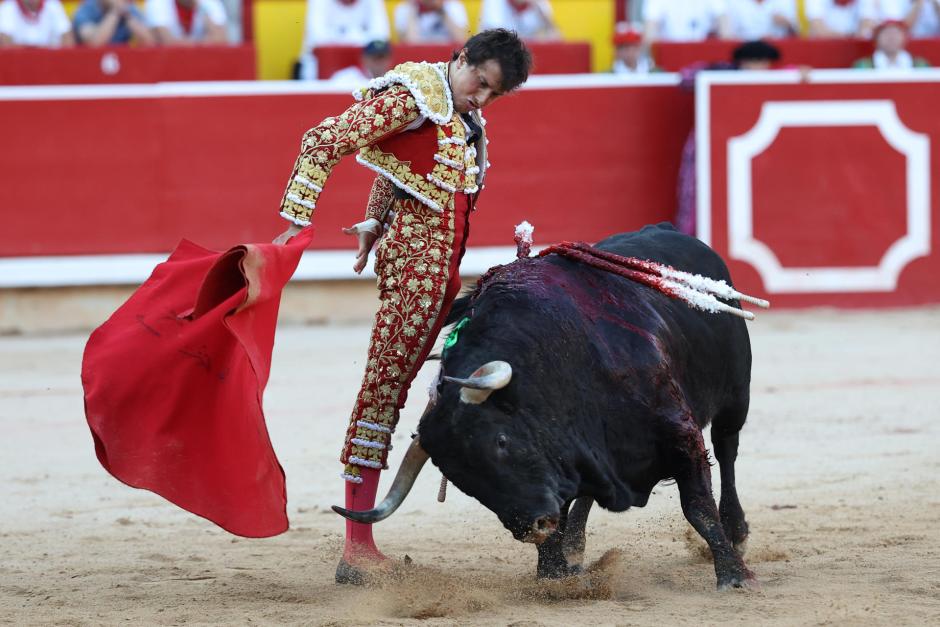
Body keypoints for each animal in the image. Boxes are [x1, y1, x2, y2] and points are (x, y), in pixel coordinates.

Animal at [338, 223, 756, 592]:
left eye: (501, 441)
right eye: (460, 479)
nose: (532, 526)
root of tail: (671, 231)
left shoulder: (680, 435)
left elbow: (698, 507)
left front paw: (734, 575)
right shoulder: (568, 453)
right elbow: (567, 503)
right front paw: (554, 576)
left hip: (736, 396)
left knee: (727, 450)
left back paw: (736, 532)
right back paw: (575, 546)